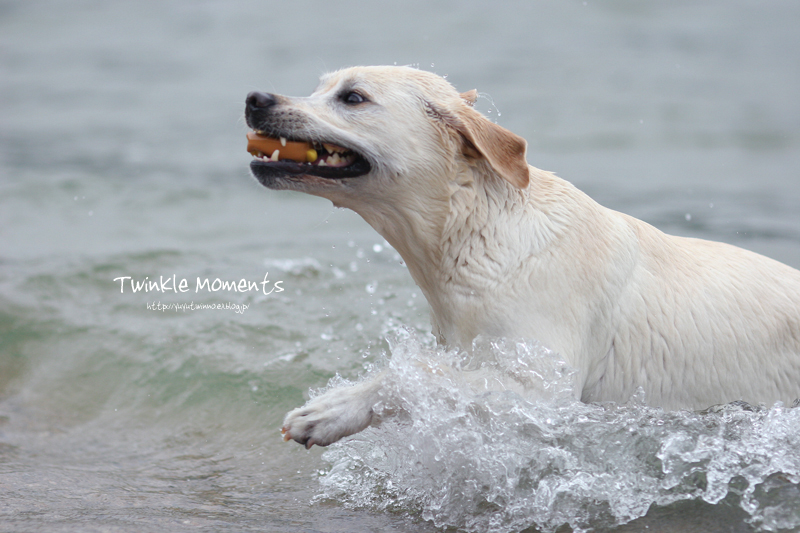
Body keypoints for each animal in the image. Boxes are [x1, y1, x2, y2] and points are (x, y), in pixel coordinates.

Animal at [244, 66, 800, 448]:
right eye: (322, 87)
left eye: (353, 97)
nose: (254, 98)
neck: (475, 233)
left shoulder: (543, 391)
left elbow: (415, 375)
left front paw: (332, 409)